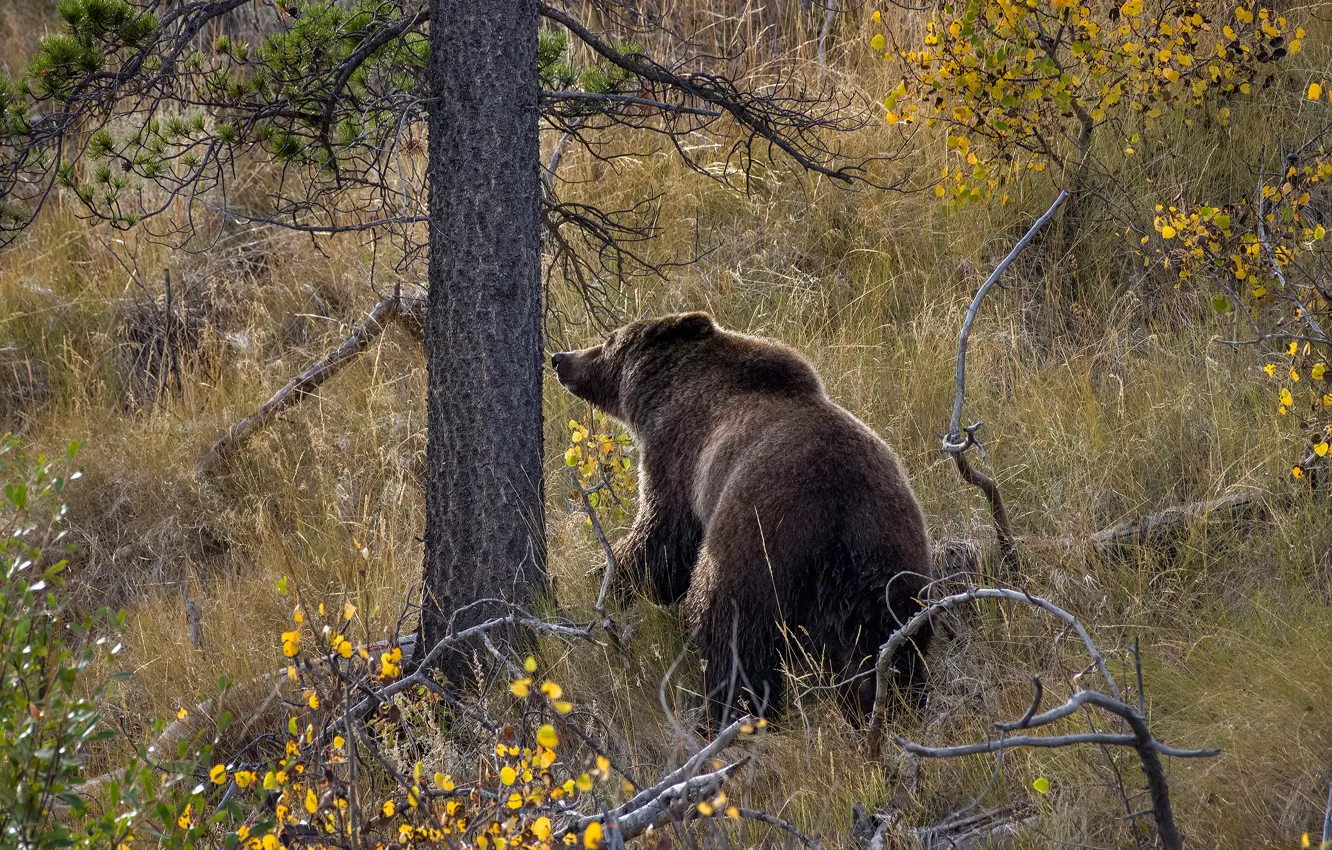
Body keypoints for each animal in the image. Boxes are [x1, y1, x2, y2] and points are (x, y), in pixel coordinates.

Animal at [551, 311, 932, 725]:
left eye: (609, 339)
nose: (559, 358)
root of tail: (836, 522)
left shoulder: (680, 458)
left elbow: (662, 541)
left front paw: (602, 576)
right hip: (885, 570)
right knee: (885, 651)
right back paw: (887, 706)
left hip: (757, 545)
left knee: (726, 628)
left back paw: (723, 710)